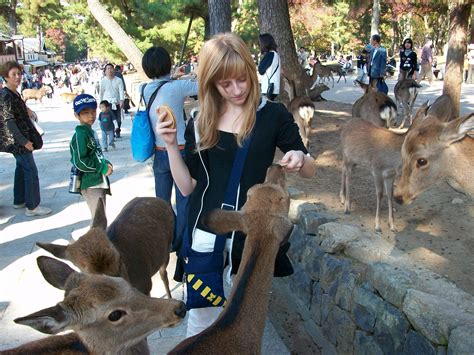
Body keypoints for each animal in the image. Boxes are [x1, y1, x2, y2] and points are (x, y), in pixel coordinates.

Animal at [37, 197, 174, 298]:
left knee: (163, 273)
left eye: (120, 259)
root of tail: (159, 199)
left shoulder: (146, 285)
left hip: (167, 249)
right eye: (89, 274)